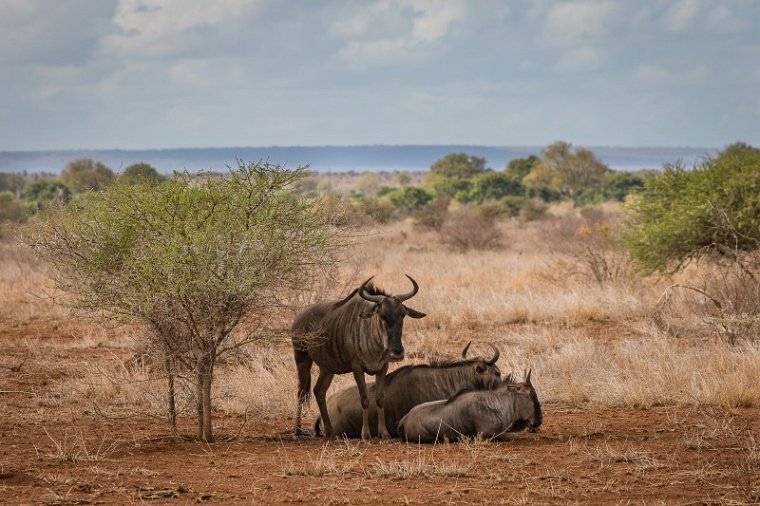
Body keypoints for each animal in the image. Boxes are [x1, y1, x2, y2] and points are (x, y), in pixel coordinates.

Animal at [290, 274, 424, 440]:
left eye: (403, 315)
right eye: (382, 315)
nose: (396, 352)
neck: (375, 343)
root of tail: (298, 318)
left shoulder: (382, 368)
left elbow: (380, 399)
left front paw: (385, 434)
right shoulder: (357, 368)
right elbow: (365, 399)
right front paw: (366, 435)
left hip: (327, 369)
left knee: (319, 391)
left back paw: (330, 432)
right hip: (302, 360)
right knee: (301, 392)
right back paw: (297, 431)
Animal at [398, 372, 540, 442]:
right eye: (531, 394)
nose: (538, 421)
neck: (495, 404)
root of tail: (404, 420)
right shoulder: (486, 435)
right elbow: (514, 436)